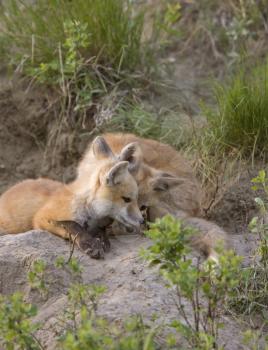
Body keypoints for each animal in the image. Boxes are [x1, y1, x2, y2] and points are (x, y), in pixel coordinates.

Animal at [0, 136, 144, 258]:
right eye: (127, 199)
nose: (142, 221)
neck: (90, 211)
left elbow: (101, 230)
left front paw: (102, 239)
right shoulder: (41, 218)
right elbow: (73, 225)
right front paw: (90, 243)